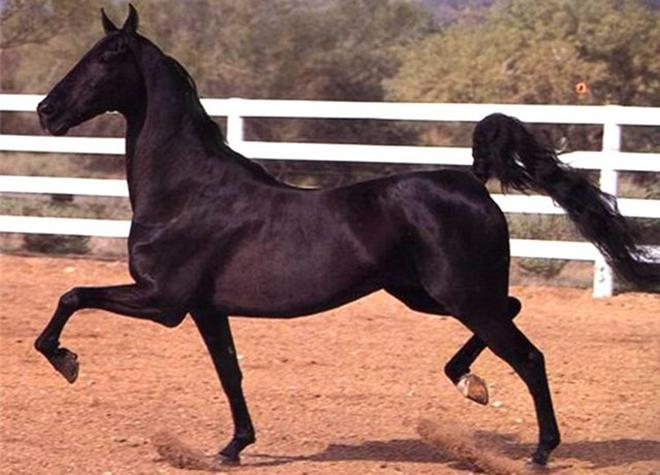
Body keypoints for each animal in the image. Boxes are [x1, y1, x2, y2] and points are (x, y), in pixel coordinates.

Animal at [35, 5, 657, 467]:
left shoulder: (162, 301)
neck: (186, 192)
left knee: (528, 355)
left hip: (458, 296)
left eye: (107, 57)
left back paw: (538, 449)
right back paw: (468, 383)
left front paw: (66, 361)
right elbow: (230, 373)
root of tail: (473, 181)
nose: (46, 110)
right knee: (512, 309)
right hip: (431, 295)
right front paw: (234, 447)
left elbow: (72, 296)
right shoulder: (206, 310)